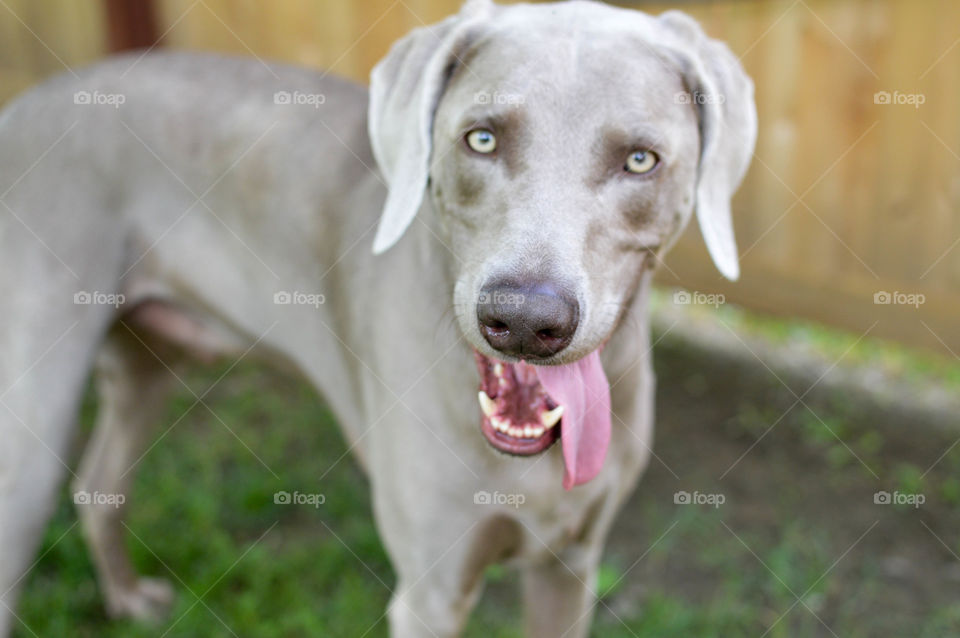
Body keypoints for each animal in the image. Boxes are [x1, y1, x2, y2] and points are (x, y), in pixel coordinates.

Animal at [0, 1, 752, 636]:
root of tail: (24, 104)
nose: (523, 321)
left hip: (146, 361)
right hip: (31, 426)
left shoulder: (568, 567)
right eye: (481, 139)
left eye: (640, 159)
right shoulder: (430, 592)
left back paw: (127, 599)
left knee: (99, 485)